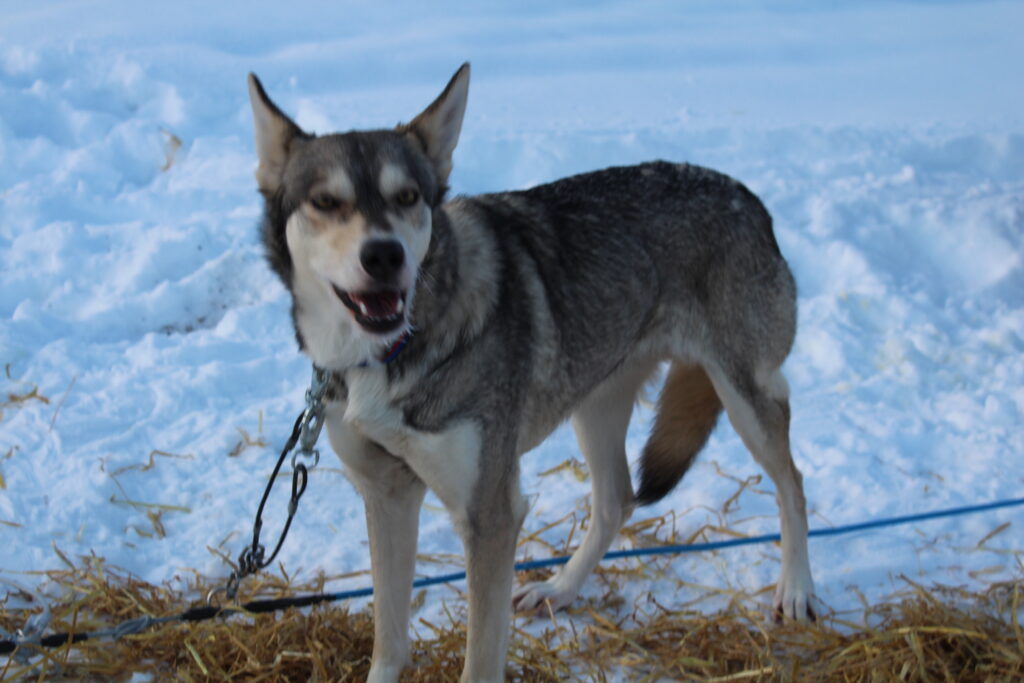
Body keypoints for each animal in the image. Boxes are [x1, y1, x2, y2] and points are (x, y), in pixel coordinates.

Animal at [248, 63, 815, 682]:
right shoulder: (387, 494)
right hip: (595, 406)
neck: (392, 354)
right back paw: (559, 590)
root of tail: (747, 196)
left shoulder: (490, 516)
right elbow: (389, 645)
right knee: (616, 502)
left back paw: (796, 591)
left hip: (743, 398)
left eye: (408, 197)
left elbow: (479, 662)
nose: (384, 255)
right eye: (326, 201)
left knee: (793, 483)